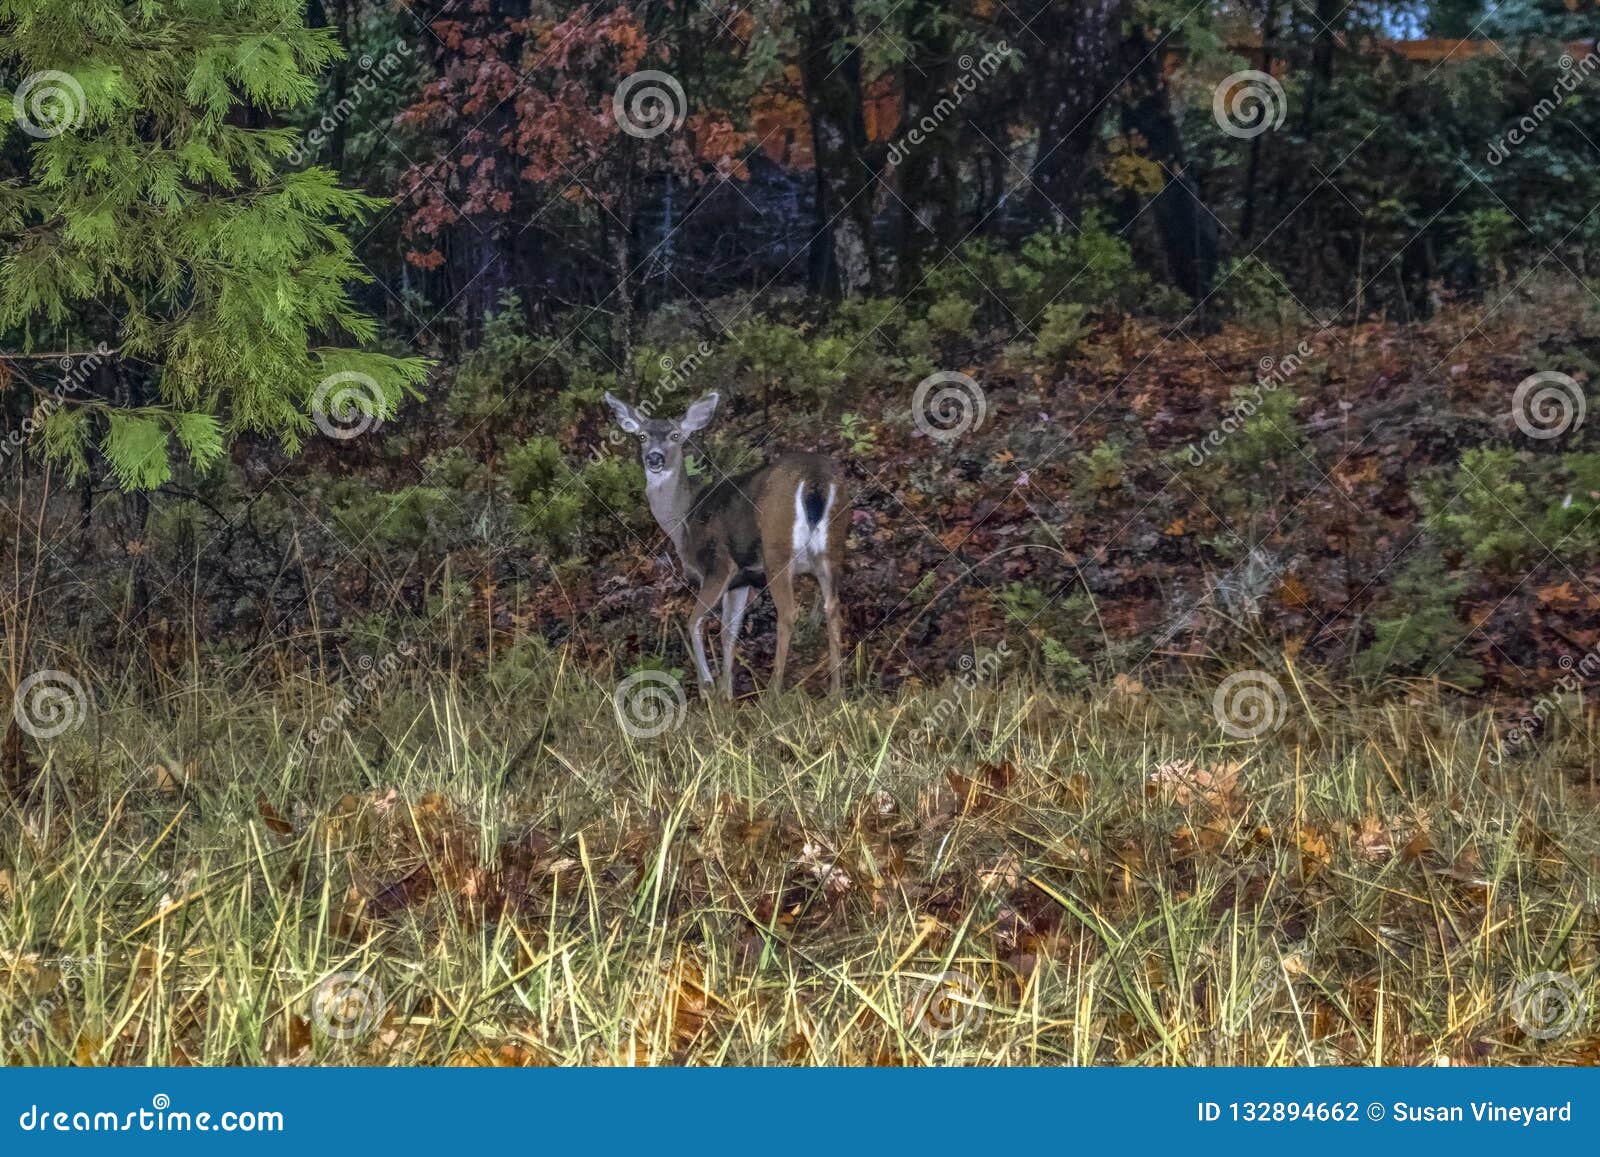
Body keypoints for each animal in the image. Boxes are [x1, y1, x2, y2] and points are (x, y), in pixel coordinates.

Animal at [602, 390, 848, 699]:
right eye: (643, 436)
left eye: (675, 435)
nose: (654, 458)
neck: (683, 519)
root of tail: (816, 479)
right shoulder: (741, 581)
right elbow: (729, 631)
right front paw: (726, 693)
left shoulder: (718, 565)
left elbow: (695, 622)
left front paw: (708, 686)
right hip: (832, 548)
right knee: (832, 607)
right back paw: (836, 692)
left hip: (777, 549)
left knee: (788, 613)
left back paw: (772, 692)